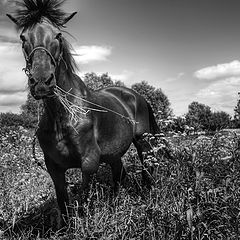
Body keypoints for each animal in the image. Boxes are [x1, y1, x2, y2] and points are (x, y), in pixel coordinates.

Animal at [7, 0, 159, 225]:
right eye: (23, 37)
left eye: (58, 35)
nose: (42, 82)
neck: (61, 116)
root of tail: (135, 95)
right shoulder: (54, 168)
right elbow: (64, 205)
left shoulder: (89, 163)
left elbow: (84, 202)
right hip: (114, 154)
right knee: (119, 175)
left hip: (143, 141)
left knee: (146, 169)